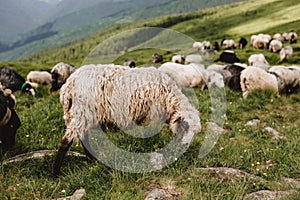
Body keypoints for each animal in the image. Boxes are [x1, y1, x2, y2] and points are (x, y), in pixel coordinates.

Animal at [52, 64, 202, 177]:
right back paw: (56, 173)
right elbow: (151, 136)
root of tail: (68, 86)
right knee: (66, 140)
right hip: (82, 112)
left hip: (79, 115)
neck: (168, 98)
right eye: (184, 126)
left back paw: (91, 161)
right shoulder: (153, 117)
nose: (184, 146)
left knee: (83, 137)